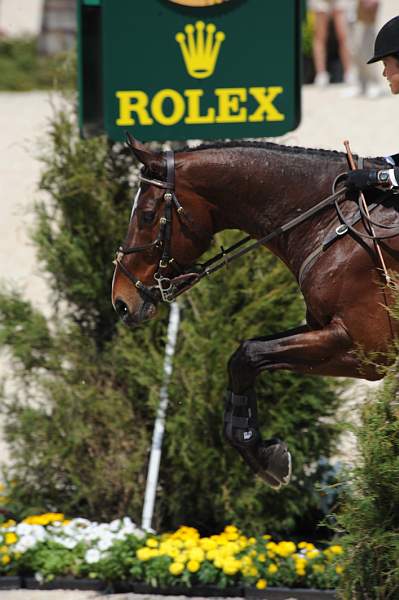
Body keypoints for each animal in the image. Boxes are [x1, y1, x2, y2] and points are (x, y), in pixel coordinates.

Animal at [111, 138, 399, 490]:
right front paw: (264, 454)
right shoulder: (322, 329)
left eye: (148, 215)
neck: (333, 221)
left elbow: (249, 355)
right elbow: (244, 355)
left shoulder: (366, 351)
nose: (121, 301)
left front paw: (265, 458)